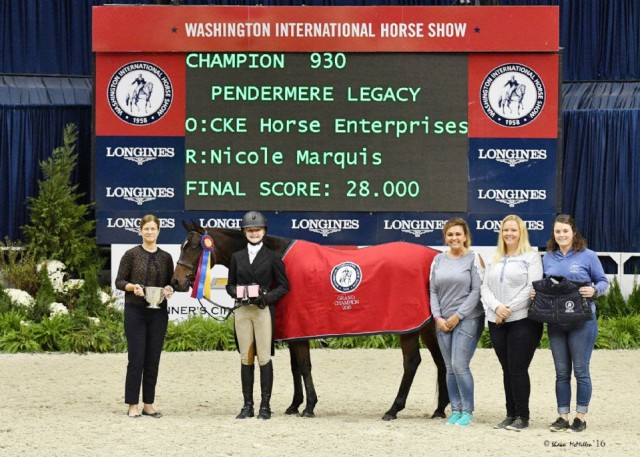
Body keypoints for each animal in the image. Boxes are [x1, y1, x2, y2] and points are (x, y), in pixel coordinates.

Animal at [172, 223, 448, 418]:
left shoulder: (299, 327)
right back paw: (439, 409)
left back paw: (393, 409)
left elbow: (304, 366)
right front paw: (295, 405)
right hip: (428, 326)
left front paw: (309, 406)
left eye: (195, 247)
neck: (279, 258)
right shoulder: (295, 332)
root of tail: (435, 256)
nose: (177, 281)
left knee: (412, 363)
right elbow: (295, 367)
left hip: (409, 328)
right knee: (440, 361)